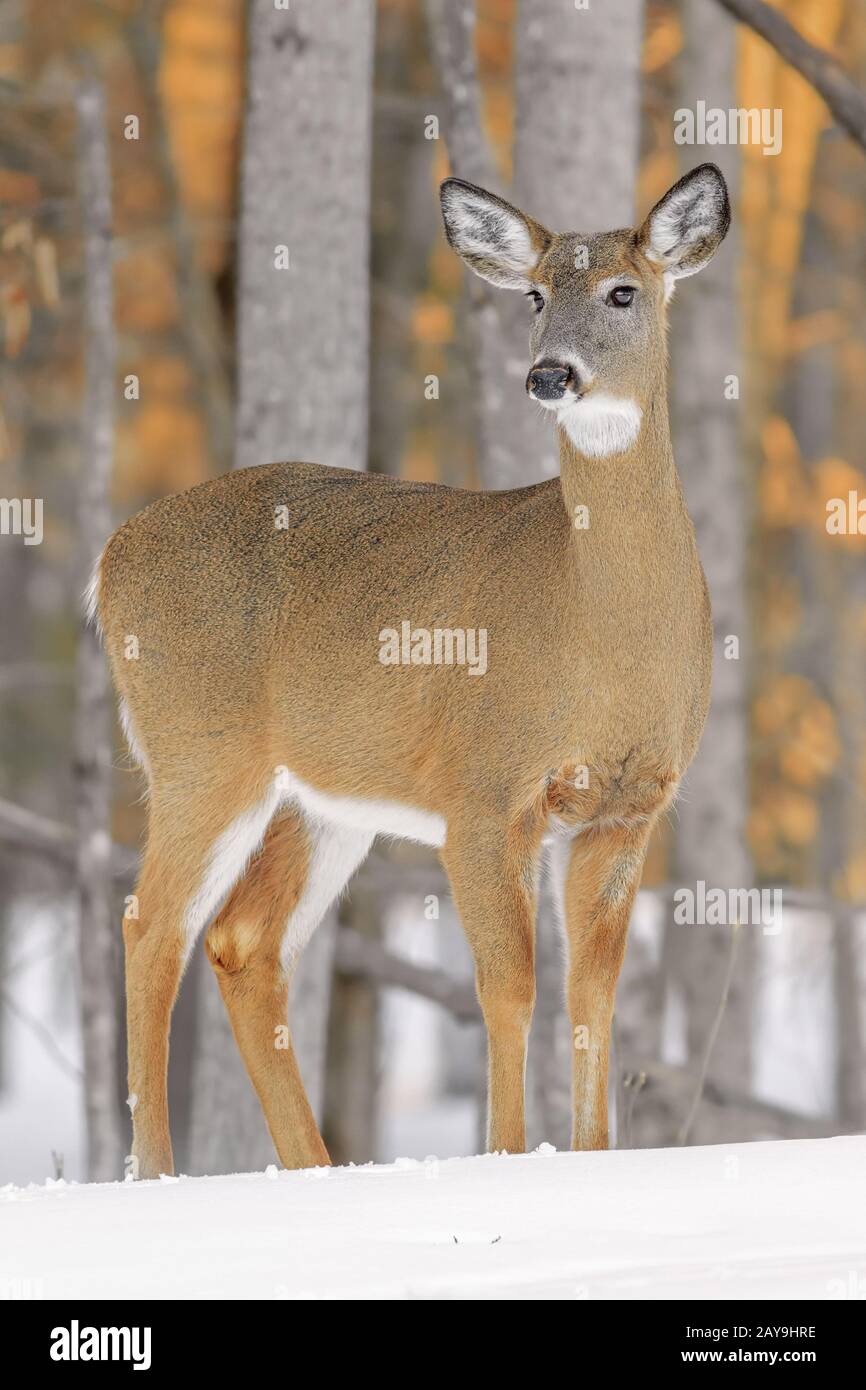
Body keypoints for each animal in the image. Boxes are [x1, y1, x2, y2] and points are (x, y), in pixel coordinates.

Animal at [92, 163, 729, 1179]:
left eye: (625, 291)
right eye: (535, 295)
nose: (549, 374)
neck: (600, 627)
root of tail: (110, 558)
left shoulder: (629, 810)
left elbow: (593, 996)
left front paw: (591, 1161)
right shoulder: (484, 791)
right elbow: (509, 986)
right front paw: (506, 1157)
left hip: (321, 798)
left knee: (242, 942)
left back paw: (314, 1170)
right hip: (202, 752)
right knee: (152, 926)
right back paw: (153, 1170)